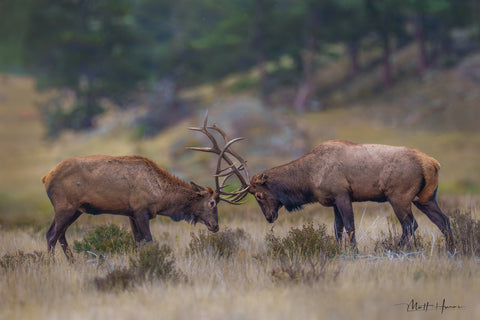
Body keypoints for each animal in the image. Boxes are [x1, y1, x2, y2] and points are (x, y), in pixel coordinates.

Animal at [249, 140, 456, 252]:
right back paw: (452, 249)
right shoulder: (333, 201)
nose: (269, 217)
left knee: (410, 224)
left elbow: (350, 227)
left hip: (399, 196)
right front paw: (339, 250)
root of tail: (432, 163)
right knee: (444, 221)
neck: (309, 178)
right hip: (425, 198)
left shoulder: (342, 194)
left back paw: (395, 248)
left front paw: (355, 252)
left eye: (259, 194)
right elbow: (337, 229)